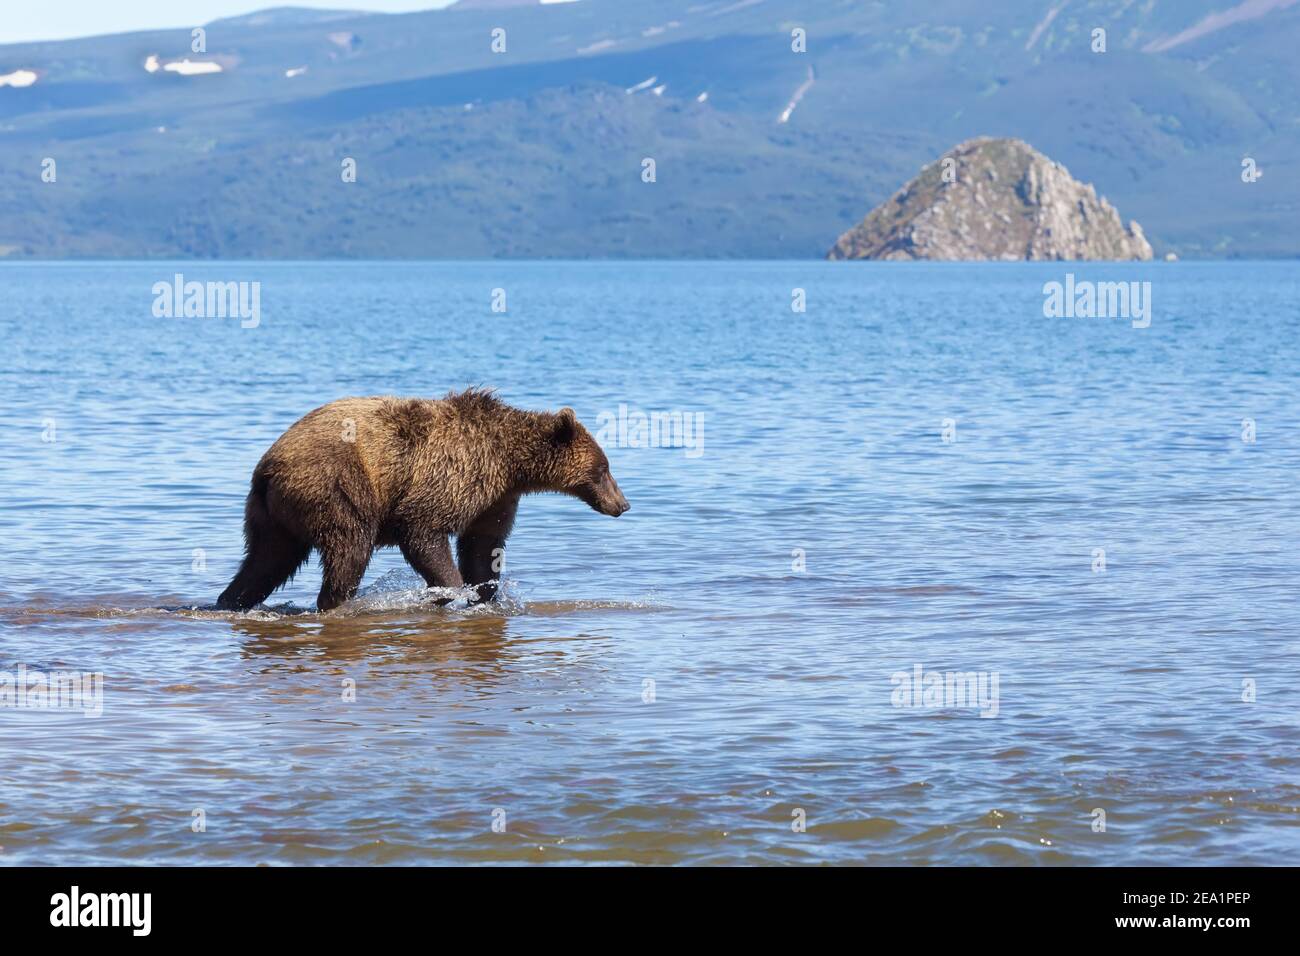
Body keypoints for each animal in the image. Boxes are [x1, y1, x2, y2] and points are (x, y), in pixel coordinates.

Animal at [214, 390, 629, 613]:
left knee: (266, 560)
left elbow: (483, 547)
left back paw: (230, 599)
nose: (623, 504)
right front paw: (447, 591)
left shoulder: (494, 499)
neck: (511, 465)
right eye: (604, 468)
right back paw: (337, 602)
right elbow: (422, 529)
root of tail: (267, 467)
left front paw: (485, 595)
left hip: (273, 514)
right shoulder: (455, 474)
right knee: (349, 547)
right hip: (335, 486)